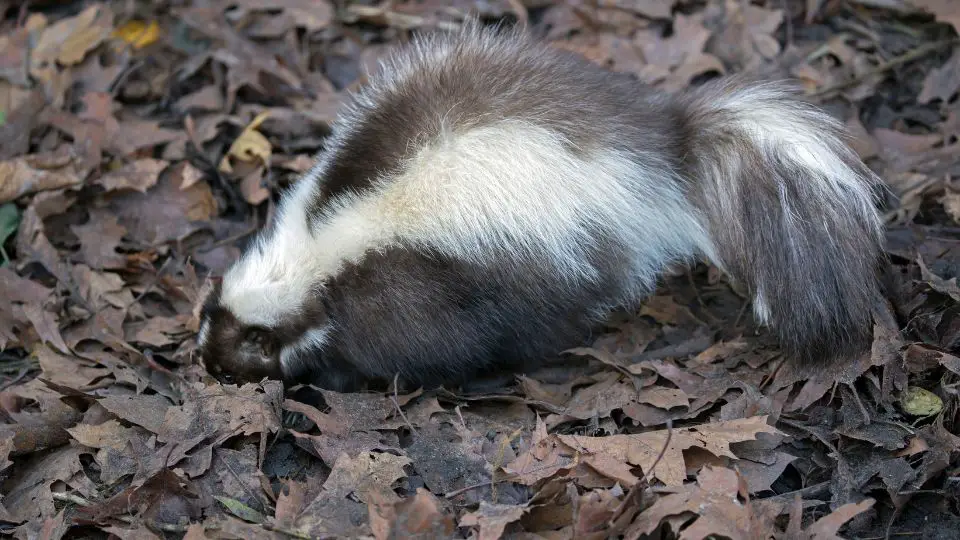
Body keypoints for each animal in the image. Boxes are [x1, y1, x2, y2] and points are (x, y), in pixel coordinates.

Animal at [195, 21, 884, 392]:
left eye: (247, 347)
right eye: (207, 322)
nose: (206, 365)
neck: (316, 248)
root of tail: (658, 147)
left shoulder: (408, 287)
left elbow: (419, 346)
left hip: (561, 251)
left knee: (554, 315)